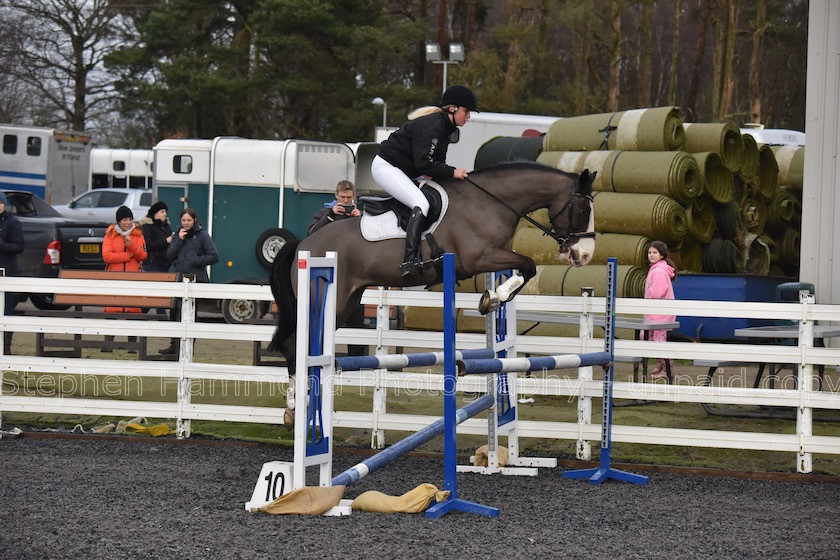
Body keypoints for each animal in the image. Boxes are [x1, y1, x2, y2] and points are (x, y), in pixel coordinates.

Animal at [270, 162, 596, 428]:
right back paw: (295, 407)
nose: (584, 256)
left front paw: (493, 298)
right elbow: (528, 264)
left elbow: (524, 268)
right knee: (294, 346)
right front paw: (495, 297)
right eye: (583, 210)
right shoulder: (477, 258)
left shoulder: (493, 256)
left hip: (346, 302)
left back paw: (299, 407)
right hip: (325, 301)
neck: (490, 202)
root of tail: (303, 244)